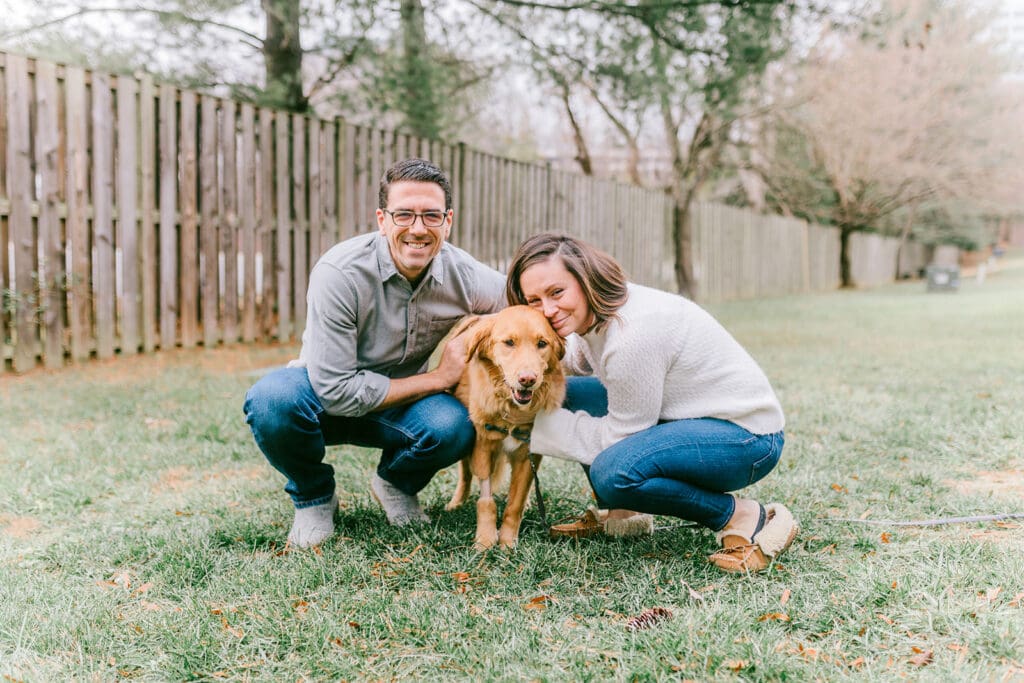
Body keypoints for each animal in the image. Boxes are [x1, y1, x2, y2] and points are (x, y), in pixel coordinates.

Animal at [444, 305, 565, 548]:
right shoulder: (483, 445)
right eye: (509, 342)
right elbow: (486, 499)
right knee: (465, 473)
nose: (527, 379)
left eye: (542, 343)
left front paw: (508, 543)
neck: (511, 412)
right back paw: (456, 502)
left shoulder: (528, 455)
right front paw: (485, 540)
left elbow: (515, 503)